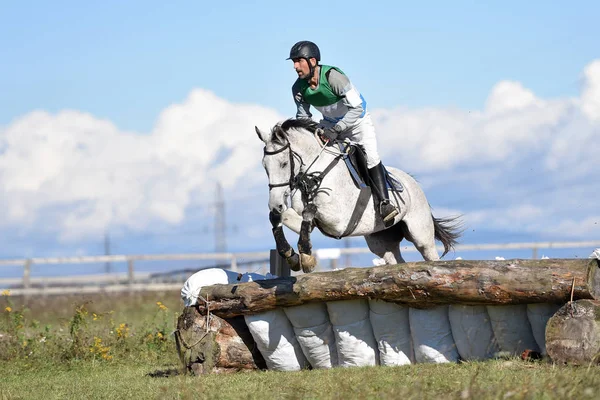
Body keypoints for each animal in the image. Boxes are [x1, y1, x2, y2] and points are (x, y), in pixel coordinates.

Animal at [255, 119, 462, 274]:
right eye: (265, 166)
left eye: (283, 164)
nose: (275, 204)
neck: (317, 173)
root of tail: (413, 182)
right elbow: (283, 217)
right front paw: (290, 254)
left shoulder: (337, 221)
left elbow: (309, 210)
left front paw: (306, 257)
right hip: (380, 240)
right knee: (395, 260)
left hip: (420, 234)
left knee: (430, 254)